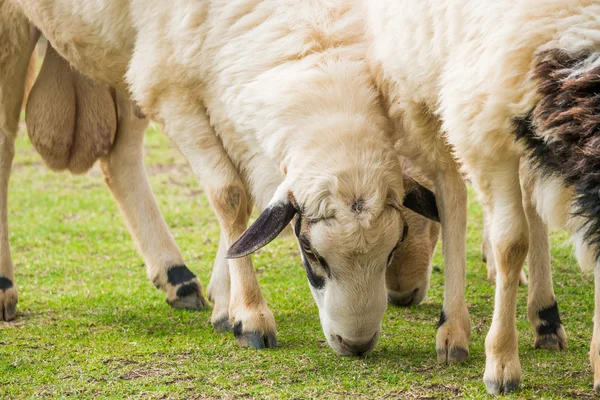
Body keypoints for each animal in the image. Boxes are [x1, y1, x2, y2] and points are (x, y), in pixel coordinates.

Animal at [364, 0, 600, 394]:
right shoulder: (485, 124)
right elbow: (511, 243)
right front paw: (501, 364)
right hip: (423, 89)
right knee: (452, 191)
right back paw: (453, 329)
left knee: (528, 198)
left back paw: (545, 318)